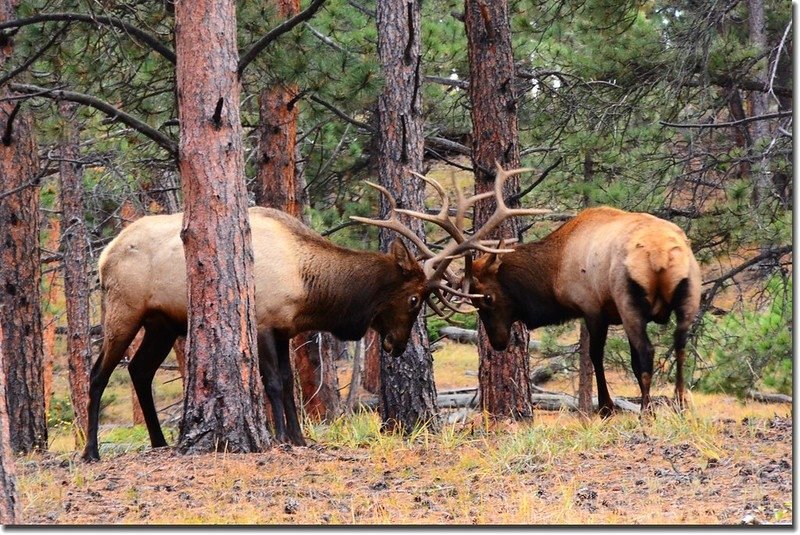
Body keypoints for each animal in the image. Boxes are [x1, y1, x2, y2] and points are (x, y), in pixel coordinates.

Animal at [462, 163, 700, 414]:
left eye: (487, 298)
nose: (497, 343)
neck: (554, 273)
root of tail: (659, 252)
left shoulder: (591, 307)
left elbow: (595, 355)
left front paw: (606, 407)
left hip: (629, 303)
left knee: (647, 352)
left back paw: (645, 413)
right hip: (690, 294)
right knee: (680, 343)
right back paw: (680, 404)